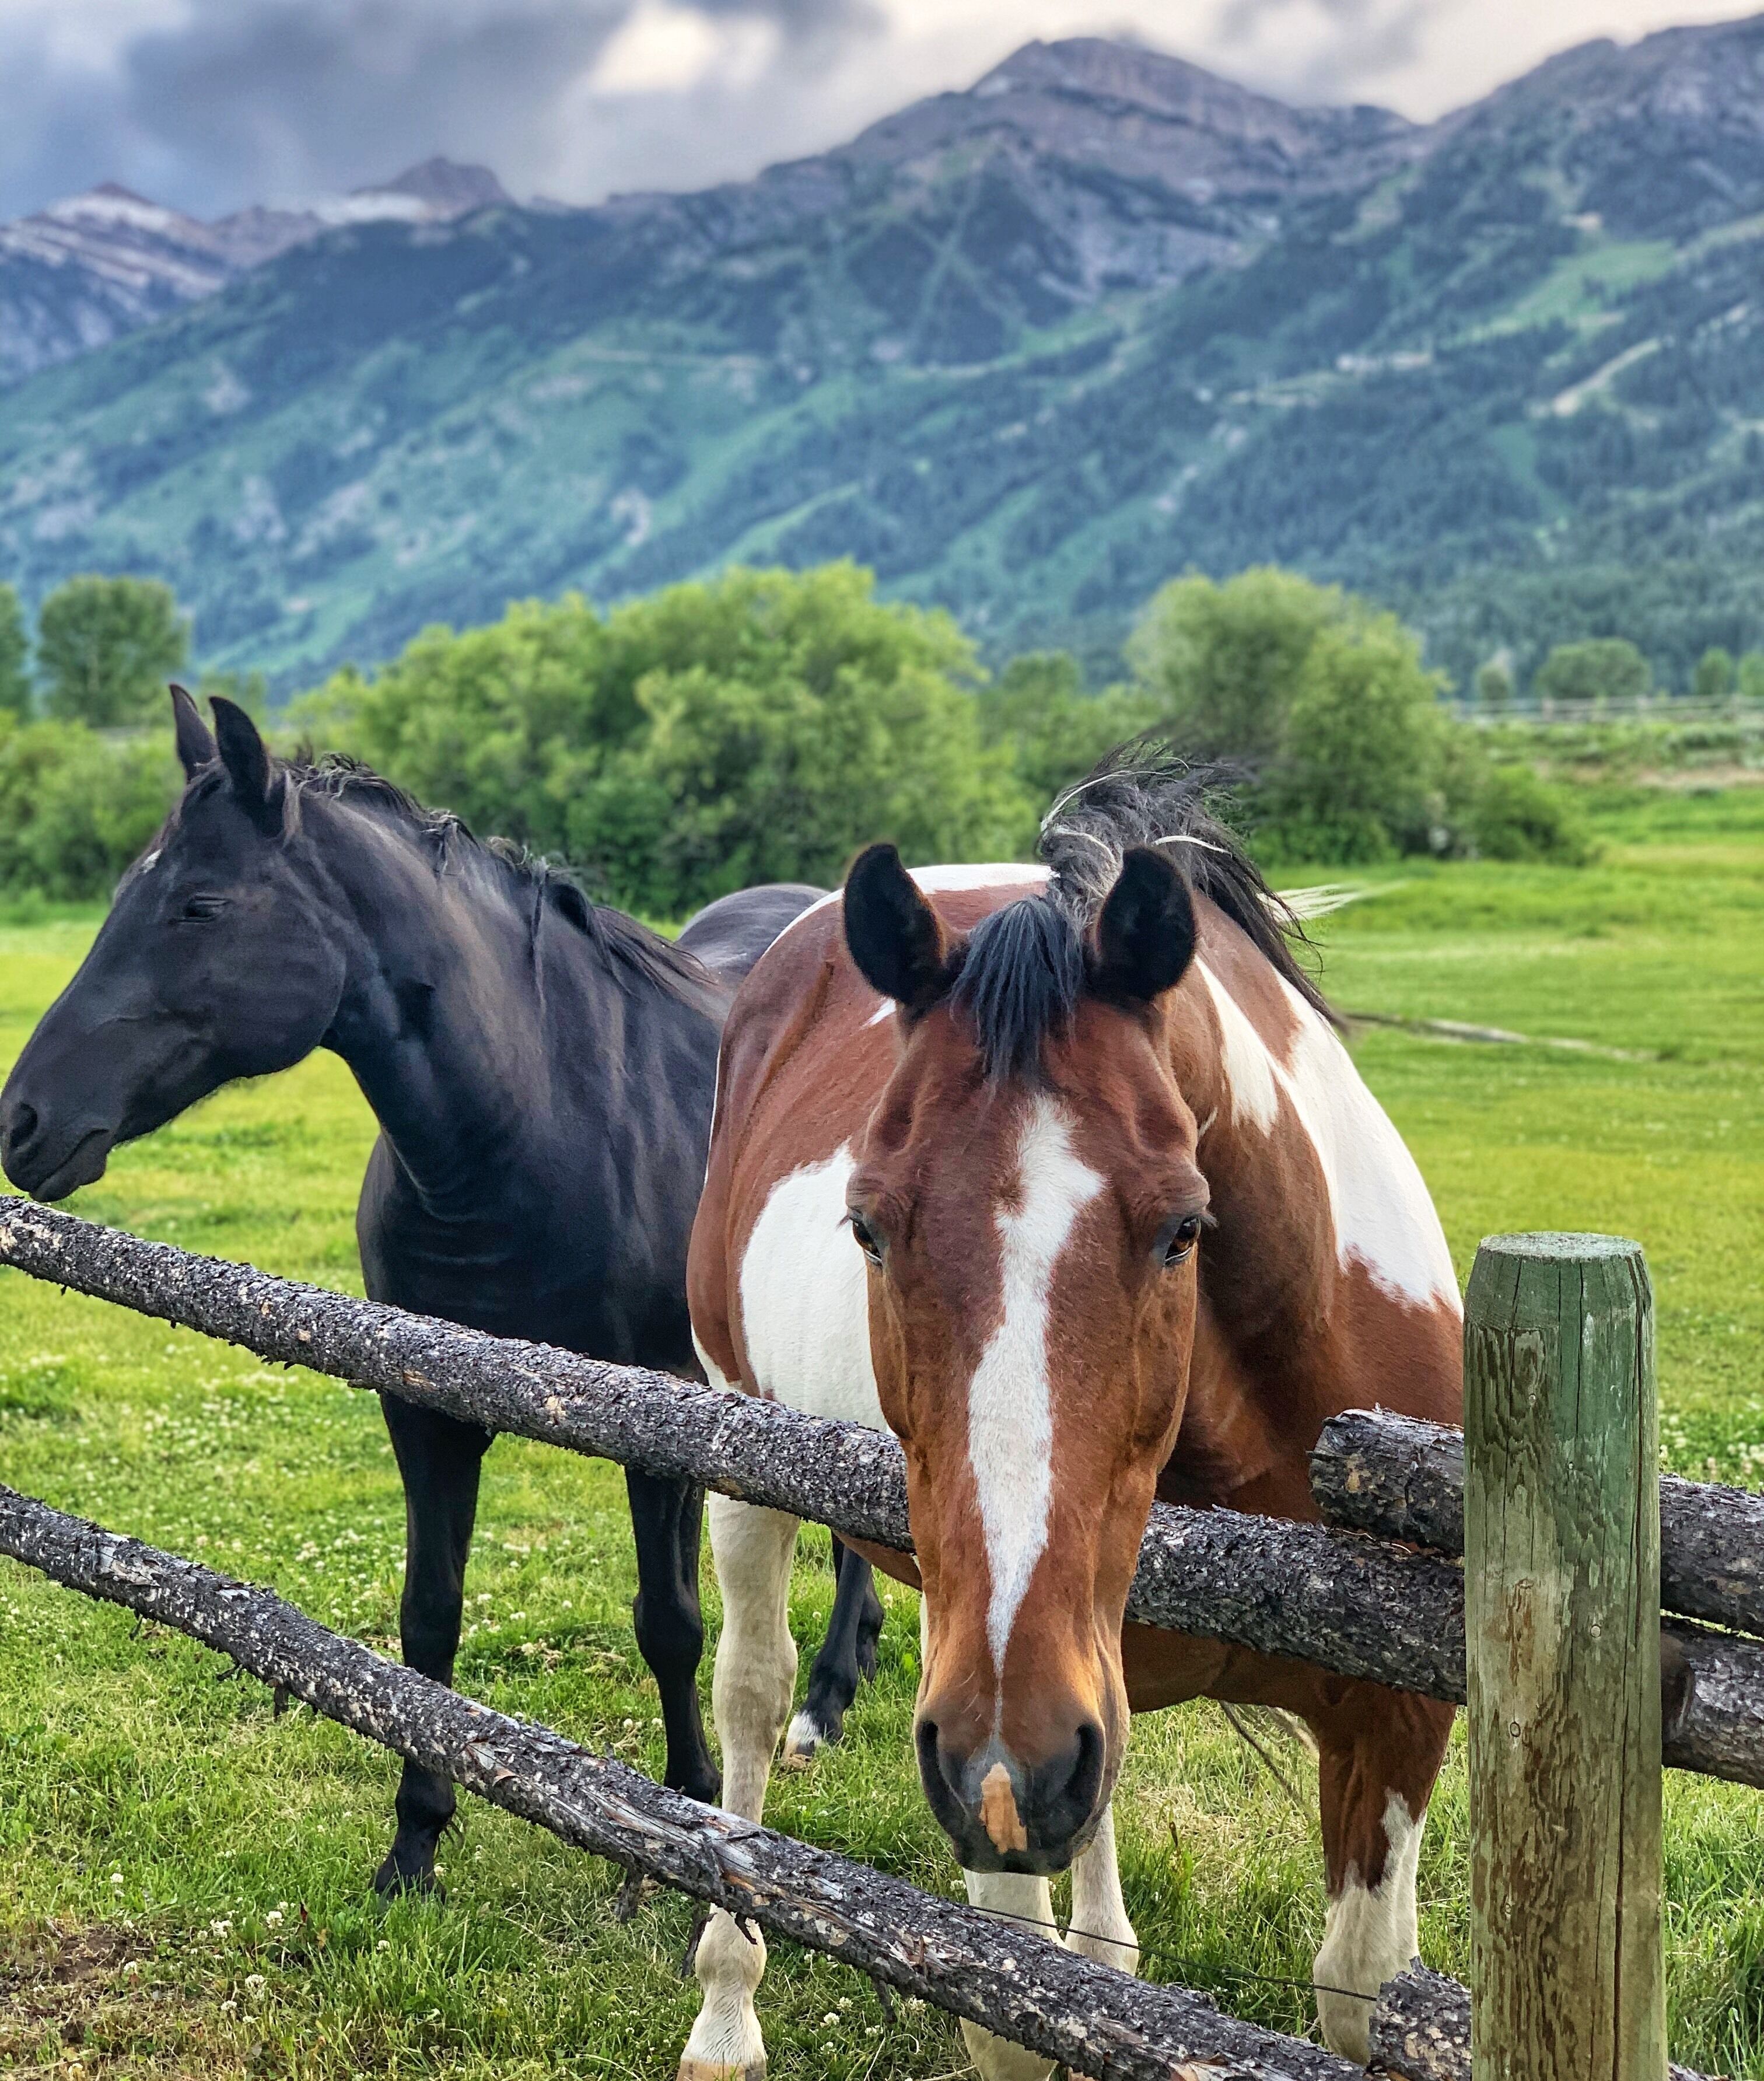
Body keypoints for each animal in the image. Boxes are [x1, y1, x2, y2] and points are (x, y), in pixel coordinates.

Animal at [0, 689, 885, 1895]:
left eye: (199, 904)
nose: (23, 1119)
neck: (545, 1118)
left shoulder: (661, 1423)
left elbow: (666, 1622)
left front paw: (676, 1828)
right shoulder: (424, 1404)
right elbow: (428, 1622)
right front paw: (414, 1840)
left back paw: (825, 1702)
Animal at [680, 749, 1462, 2078]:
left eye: (1181, 1227)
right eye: (868, 1226)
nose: (1013, 1759)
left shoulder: (1396, 1714)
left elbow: (1358, 1989)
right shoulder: (984, 1742)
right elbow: (1014, 2016)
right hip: (744, 1449)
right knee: (751, 1695)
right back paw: (726, 2012)